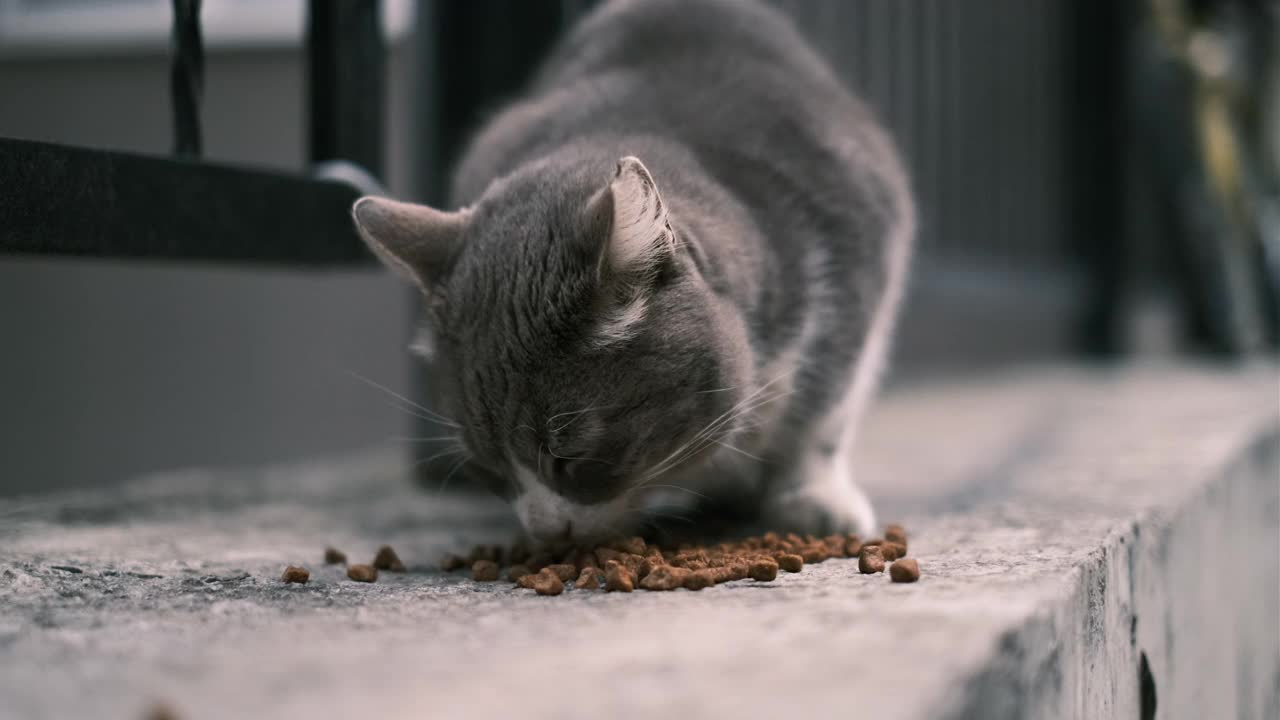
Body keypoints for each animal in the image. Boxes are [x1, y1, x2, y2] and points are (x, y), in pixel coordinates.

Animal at [353, 0, 911, 540]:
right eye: (487, 468)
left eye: (569, 454)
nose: (545, 531)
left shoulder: (859, 261)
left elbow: (826, 414)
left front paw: (813, 498)